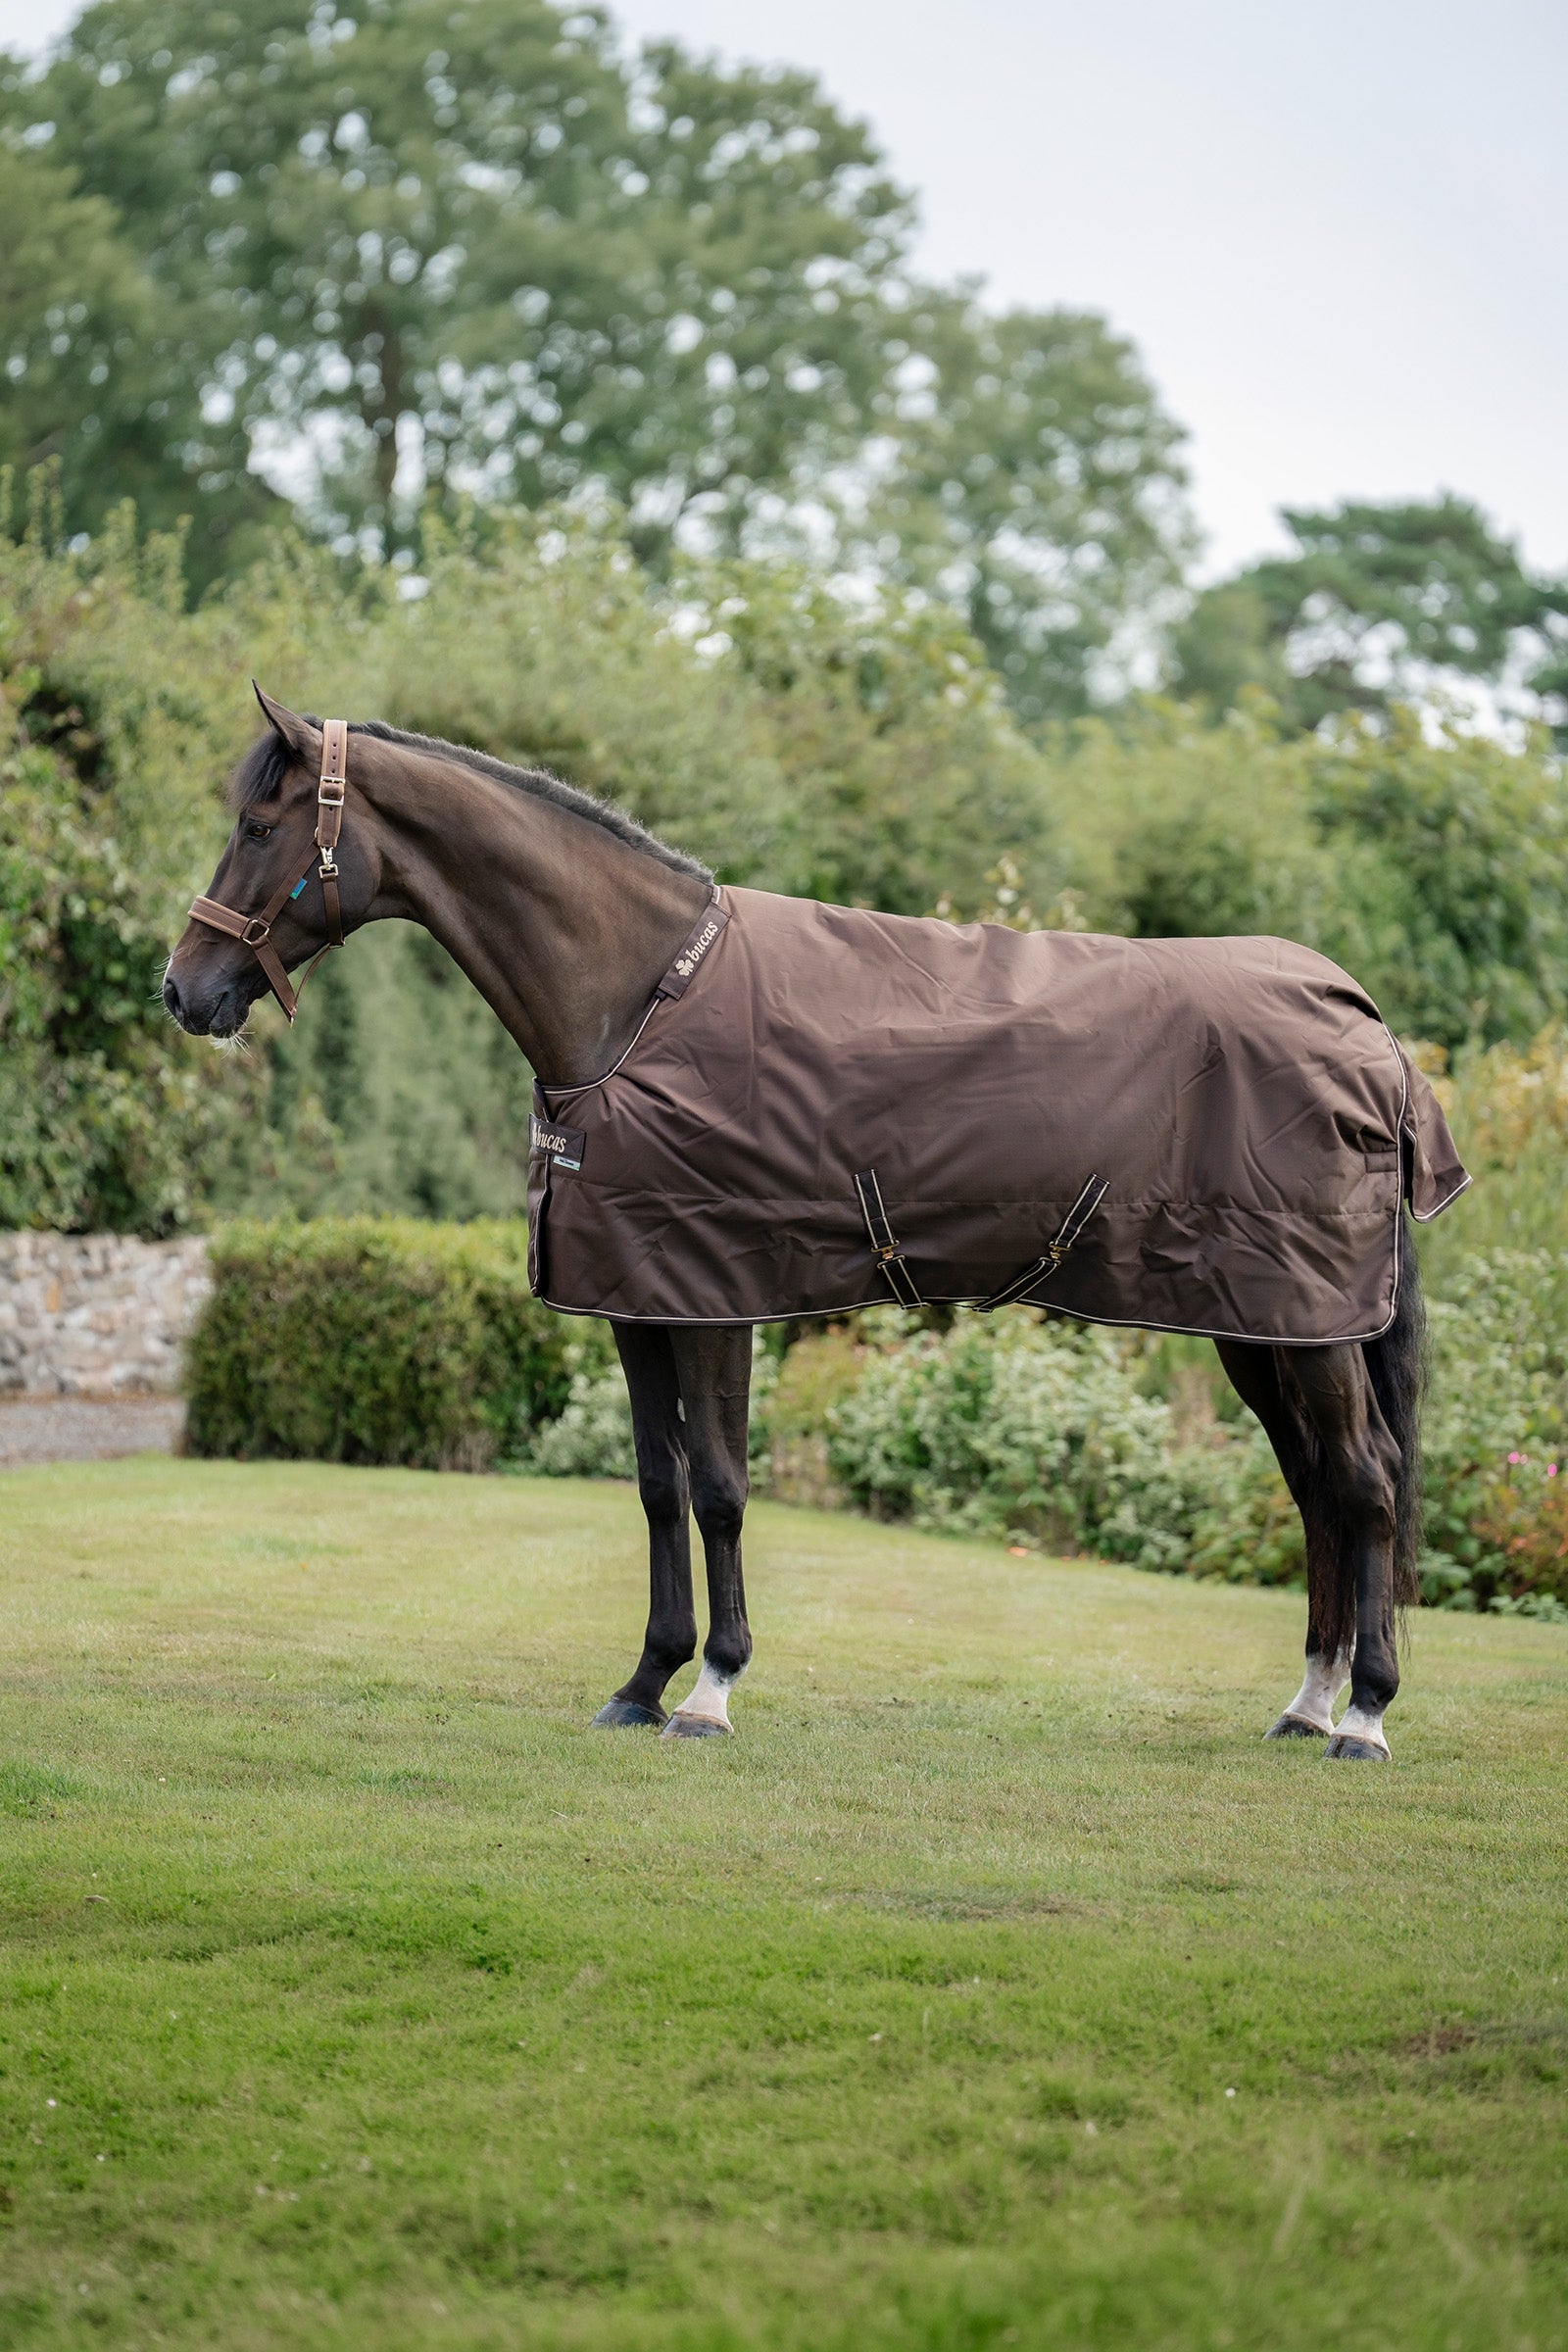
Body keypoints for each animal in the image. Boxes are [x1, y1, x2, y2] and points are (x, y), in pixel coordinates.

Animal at [163, 690, 1466, 1762]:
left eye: (262, 827)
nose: (183, 991)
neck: (639, 999)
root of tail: (1365, 1026)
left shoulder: (716, 1296)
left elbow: (721, 1488)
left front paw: (711, 1692)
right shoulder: (634, 1299)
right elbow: (657, 1486)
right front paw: (641, 1683)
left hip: (1307, 1324)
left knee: (1364, 1483)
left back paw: (1363, 1717)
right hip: (1264, 1325)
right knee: (1317, 1488)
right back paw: (1306, 1703)